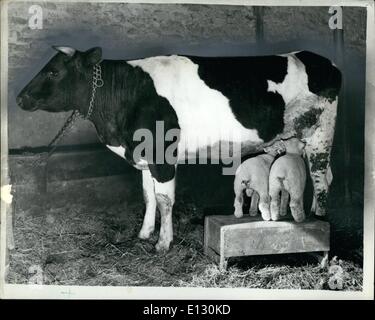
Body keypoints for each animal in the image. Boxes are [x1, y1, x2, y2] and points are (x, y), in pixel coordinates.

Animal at [16, 47, 340, 252]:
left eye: (53, 72)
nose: (20, 98)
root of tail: (319, 59)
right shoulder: (145, 156)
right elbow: (148, 197)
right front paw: (144, 233)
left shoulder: (162, 156)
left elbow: (164, 200)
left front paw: (163, 242)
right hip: (293, 140)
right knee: (312, 175)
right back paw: (292, 213)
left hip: (320, 133)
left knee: (321, 178)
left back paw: (320, 217)